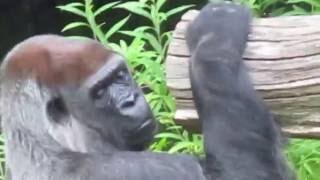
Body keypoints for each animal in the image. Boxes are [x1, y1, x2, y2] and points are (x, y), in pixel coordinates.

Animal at [0, 2, 296, 180]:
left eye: (120, 75)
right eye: (99, 93)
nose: (131, 100)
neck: (44, 146)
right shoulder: (151, 170)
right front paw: (212, 41)